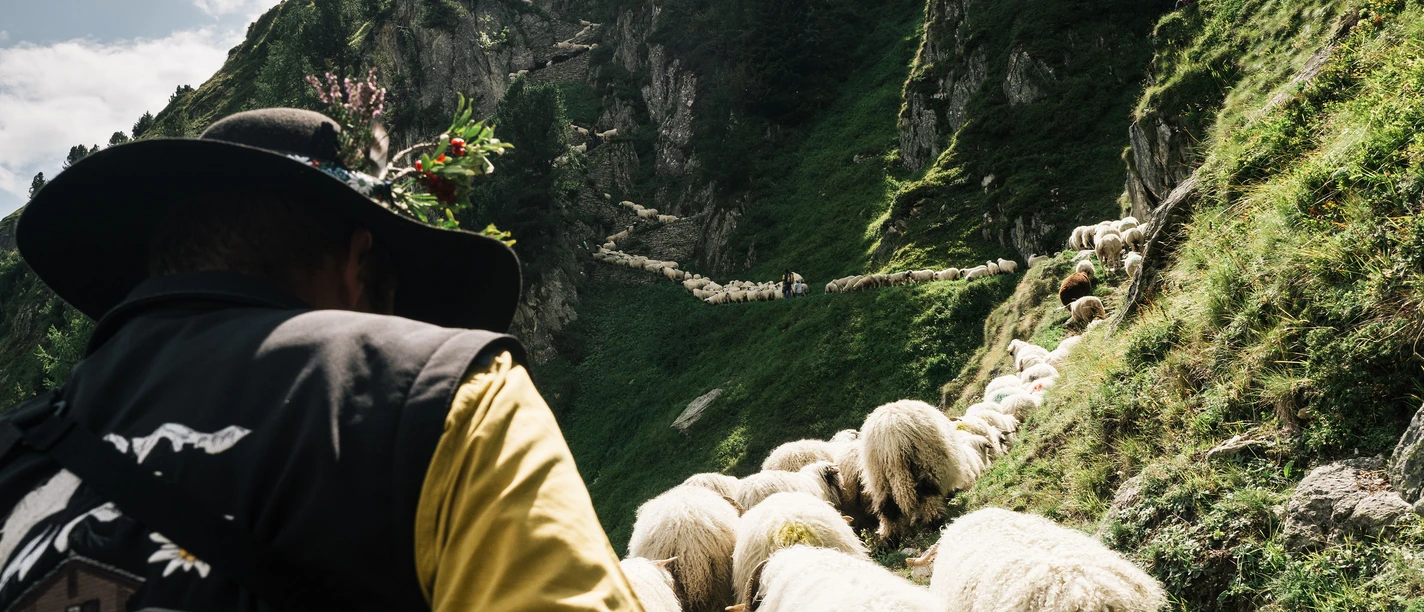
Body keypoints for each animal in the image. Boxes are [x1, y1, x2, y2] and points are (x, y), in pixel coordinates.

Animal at [861, 400, 971, 540]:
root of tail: (892, 436)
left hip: (879, 477)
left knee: (888, 508)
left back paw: (891, 539)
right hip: (926, 462)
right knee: (928, 494)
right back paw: (934, 522)